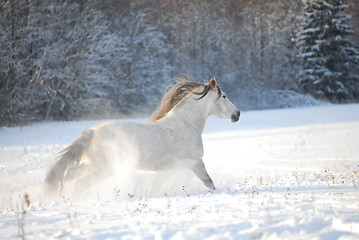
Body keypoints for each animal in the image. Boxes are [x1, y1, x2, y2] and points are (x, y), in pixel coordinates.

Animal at [45, 77, 240, 197]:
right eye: (224, 95)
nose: (237, 114)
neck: (186, 124)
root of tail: (91, 132)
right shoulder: (195, 163)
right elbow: (210, 183)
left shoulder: (166, 169)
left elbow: (155, 185)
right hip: (103, 169)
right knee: (81, 183)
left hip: (90, 165)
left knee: (69, 175)